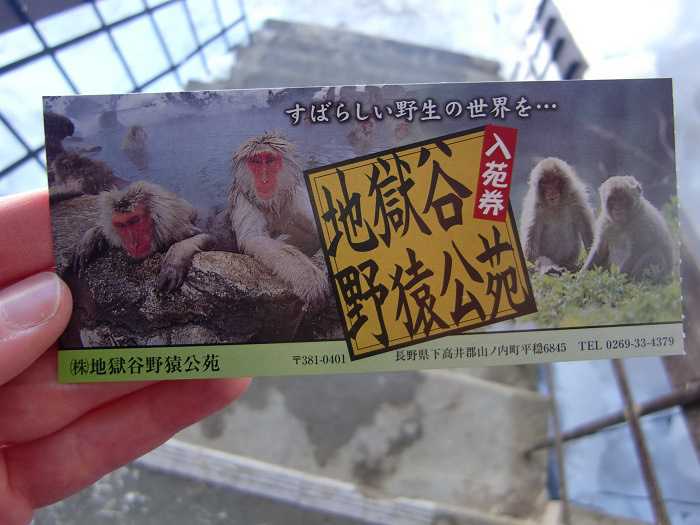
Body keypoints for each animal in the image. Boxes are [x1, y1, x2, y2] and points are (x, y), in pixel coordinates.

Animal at [72, 181, 212, 291]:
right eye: (121, 225)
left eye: (135, 220)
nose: (133, 243)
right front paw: (89, 240)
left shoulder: (177, 230)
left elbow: (211, 238)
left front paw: (177, 256)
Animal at [227, 132, 329, 308]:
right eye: (256, 162)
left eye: (269, 161)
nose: (264, 179)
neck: (272, 203)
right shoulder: (244, 201)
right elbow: (254, 238)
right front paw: (309, 277)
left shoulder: (295, 195)